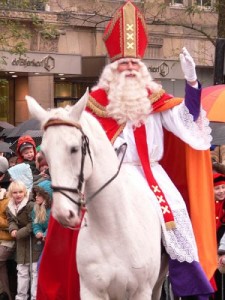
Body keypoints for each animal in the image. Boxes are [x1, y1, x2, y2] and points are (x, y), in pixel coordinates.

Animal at [26, 92, 166, 300]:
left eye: (74, 148)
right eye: (44, 154)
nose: (62, 213)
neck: (114, 228)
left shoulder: (141, 290)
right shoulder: (92, 290)